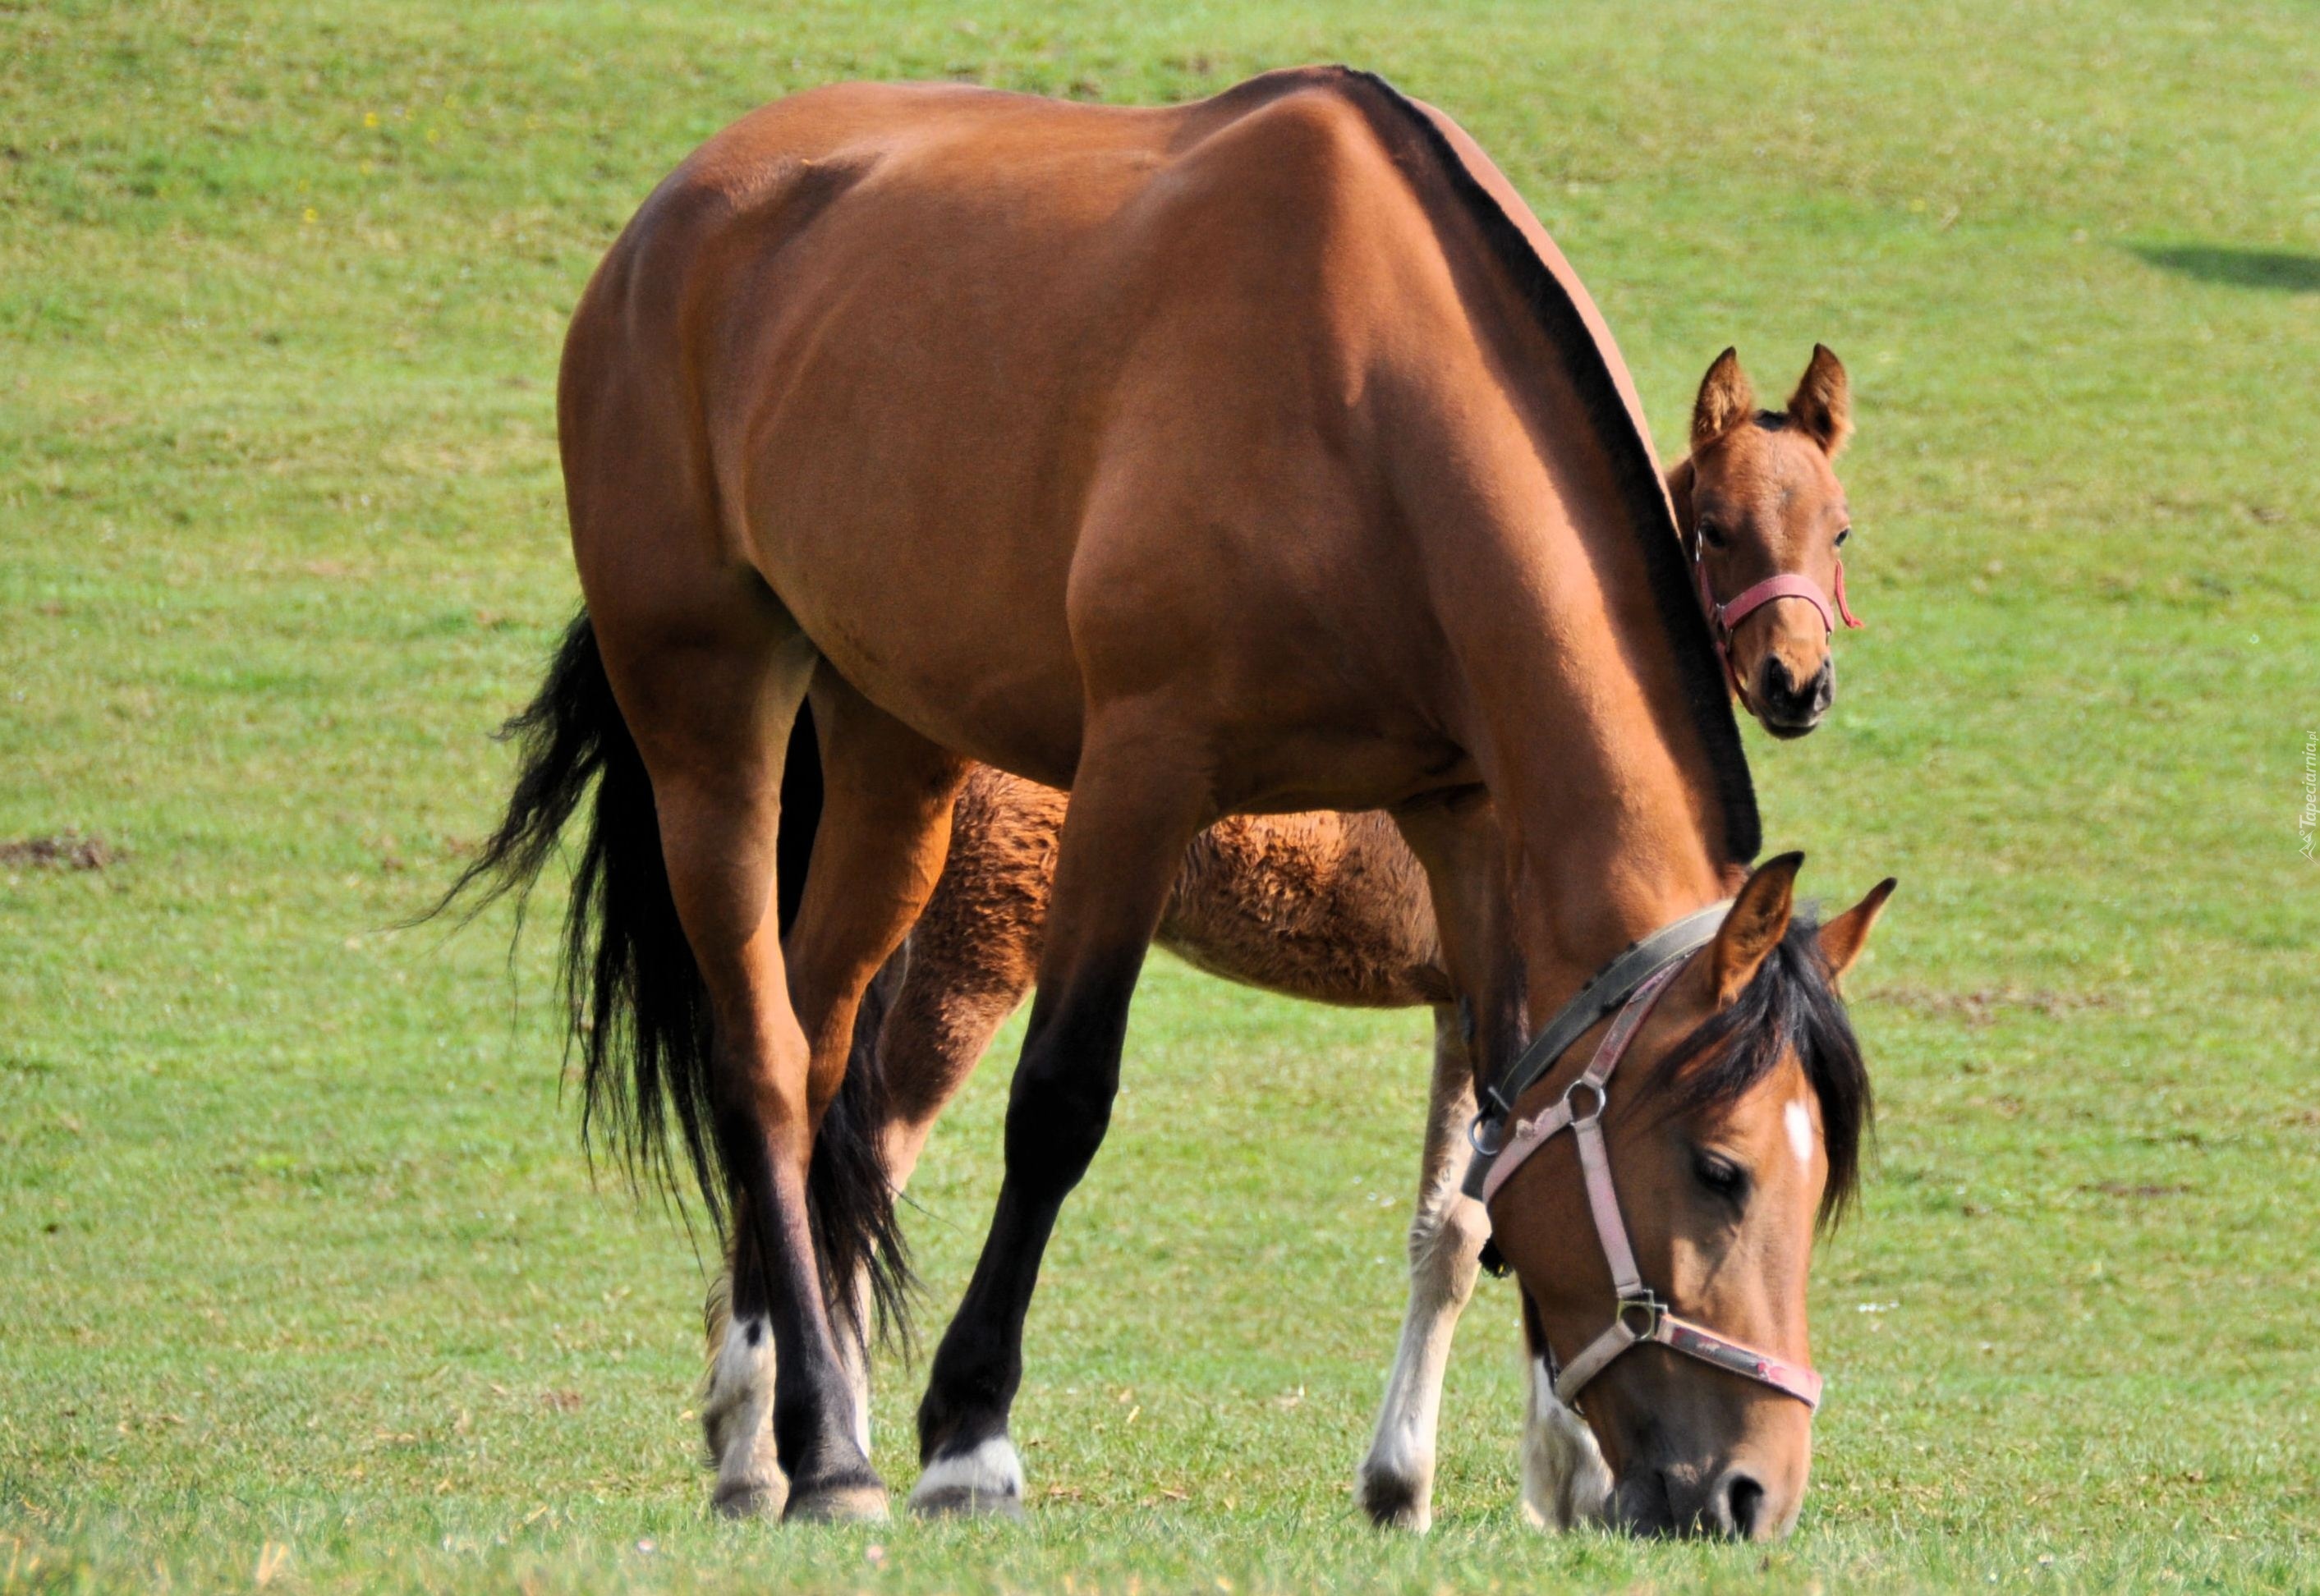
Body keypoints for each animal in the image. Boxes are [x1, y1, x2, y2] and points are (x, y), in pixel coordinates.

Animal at [691, 346, 1865, 1521]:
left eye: (1836, 528)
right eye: (1713, 527)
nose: (1795, 681)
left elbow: (1471, 1224)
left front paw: (1466, 1474)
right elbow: (1491, 1221)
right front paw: (1541, 1473)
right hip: (974, 963)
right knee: (864, 1170)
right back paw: (818, 1444)